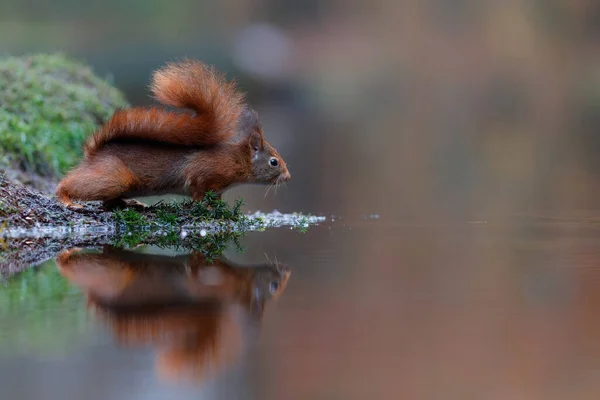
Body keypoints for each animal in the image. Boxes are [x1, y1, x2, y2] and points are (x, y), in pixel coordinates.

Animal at [55, 60, 290, 209]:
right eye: (274, 162)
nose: (288, 177)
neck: (236, 159)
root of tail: (94, 154)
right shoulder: (203, 172)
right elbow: (198, 191)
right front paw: (207, 208)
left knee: (108, 202)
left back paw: (130, 203)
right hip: (113, 177)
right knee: (68, 185)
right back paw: (67, 200)